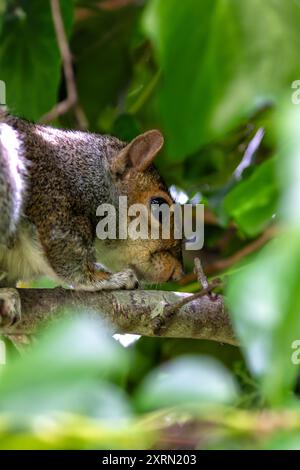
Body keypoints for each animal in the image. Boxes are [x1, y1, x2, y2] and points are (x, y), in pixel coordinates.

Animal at [0, 111, 183, 326]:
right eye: (159, 206)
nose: (178, 273)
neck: (87, 175)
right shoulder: (52, 200)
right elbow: (67, 257)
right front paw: (109, 279)